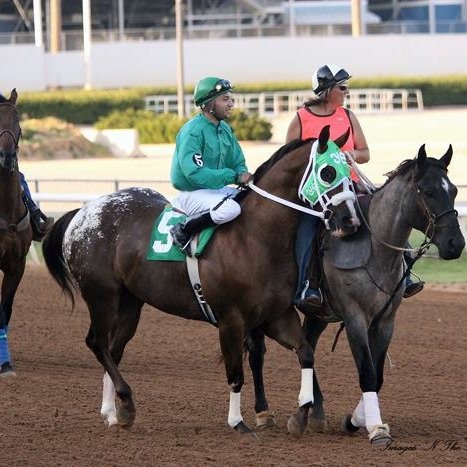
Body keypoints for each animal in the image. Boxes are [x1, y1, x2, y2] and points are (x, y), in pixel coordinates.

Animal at [43, 125, 358, 438]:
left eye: (350, 169)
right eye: (328, 172)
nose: (350, 220)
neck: (255, 238)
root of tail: (83, 212)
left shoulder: (276, 315)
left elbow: (306, 352)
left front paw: (301, 414)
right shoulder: (232, 320)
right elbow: (236, 374)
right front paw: (238, 423)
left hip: (130, 301)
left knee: (113, 349)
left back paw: (115, 412)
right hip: (102, 296)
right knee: (97, 342)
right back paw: (126, 402)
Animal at [249, 144, 464, 446]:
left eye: (454, 190)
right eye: (429, 191)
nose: (456, 244)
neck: (373, 248)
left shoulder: (385, 321)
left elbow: (378, 376)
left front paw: (355, 421)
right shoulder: (355, 319)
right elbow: (367, 372)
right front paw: (376, 429)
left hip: (318, 315)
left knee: (307, 348)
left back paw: (312, 413)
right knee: (258, 352)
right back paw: (264, 413)